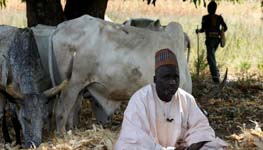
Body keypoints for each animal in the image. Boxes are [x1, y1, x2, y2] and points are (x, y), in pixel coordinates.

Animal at [32, 14, 192, 133]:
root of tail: (61, 26)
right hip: (73, 84)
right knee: (61, 111)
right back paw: (63, 136)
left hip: (77, 88)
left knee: (72, 111)